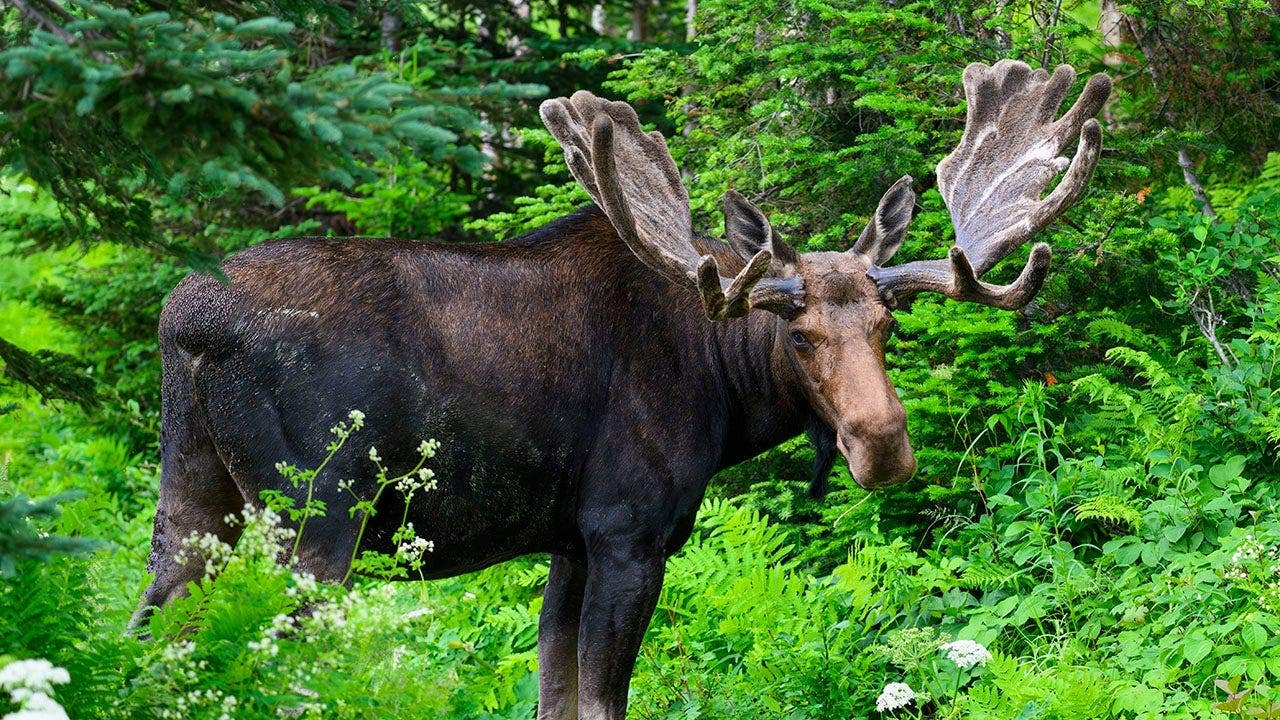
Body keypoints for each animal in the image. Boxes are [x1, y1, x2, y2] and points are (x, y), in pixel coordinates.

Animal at [134, 60, 1110, 719]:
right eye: (798, 336)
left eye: (888, 327)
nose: (884, 444)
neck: (723, 395)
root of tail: (187, 323)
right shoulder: (627, 532)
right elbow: (604, 701)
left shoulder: (569, 541)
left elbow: (553, 697)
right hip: (315, 514)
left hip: (195, 499)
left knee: (153, 635)